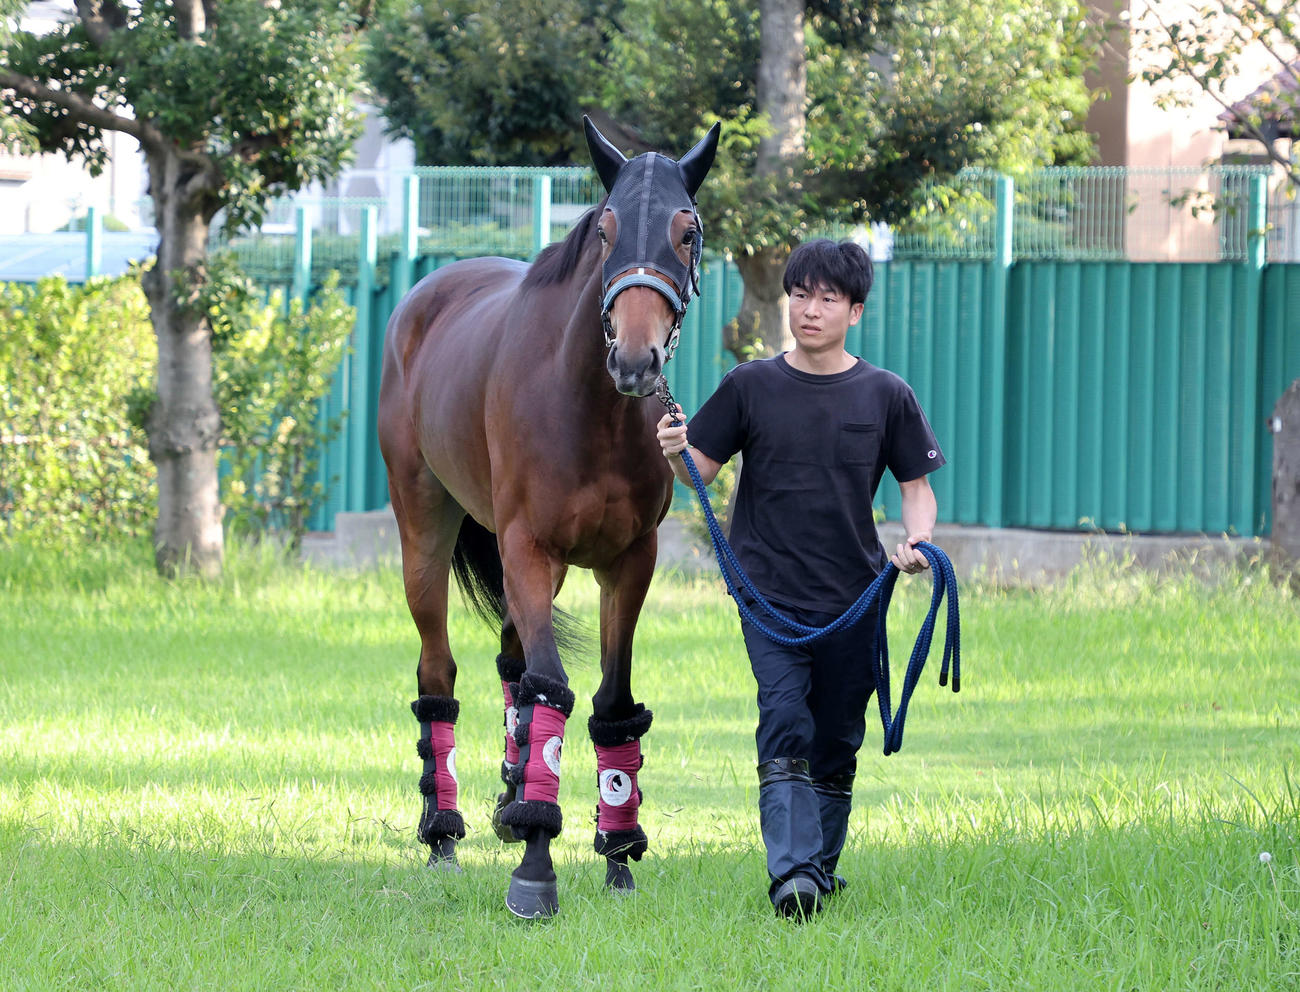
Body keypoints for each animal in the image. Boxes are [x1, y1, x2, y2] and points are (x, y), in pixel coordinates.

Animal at [377, 117, 720, 918]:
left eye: (687, 230)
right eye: (605, 228)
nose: (636, 358)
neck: (588, 405)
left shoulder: (629, 561)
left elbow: (608, 700)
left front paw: (618, 854)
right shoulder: (529, 549)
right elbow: (554, 688)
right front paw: (536, 867)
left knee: (512, 666)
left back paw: (510, 800)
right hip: (425, 532)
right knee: (439, 672)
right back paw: (443, 834)